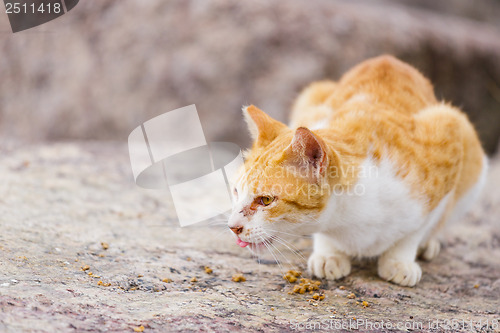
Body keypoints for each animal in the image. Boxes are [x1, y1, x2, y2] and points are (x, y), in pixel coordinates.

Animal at [229, 54, 486, 286]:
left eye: (266, 200)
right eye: (235, 191)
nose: (233, 227)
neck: (348, 219)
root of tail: (388, 58)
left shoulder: (448, 132)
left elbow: (416, 230)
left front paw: (400, 260)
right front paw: (329, 254)